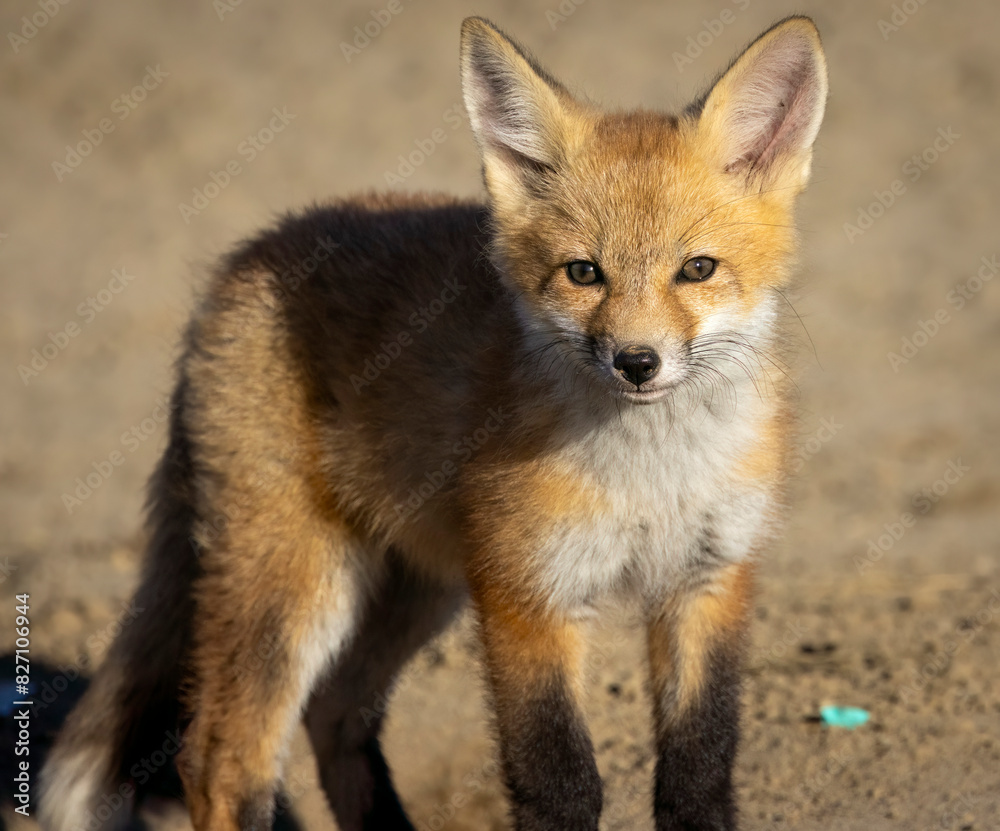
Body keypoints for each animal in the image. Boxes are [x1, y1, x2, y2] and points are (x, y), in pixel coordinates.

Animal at [40, 14, 827, 831]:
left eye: (697, 269)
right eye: (584, 273)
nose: (636, 362)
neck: (648, 476)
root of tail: (239, 262)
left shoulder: (708, 579)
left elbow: (698, 772)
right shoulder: (527, 592)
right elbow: (558, 781)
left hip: (415, 586)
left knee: (334, 710)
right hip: (296, 585)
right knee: (221, 759)